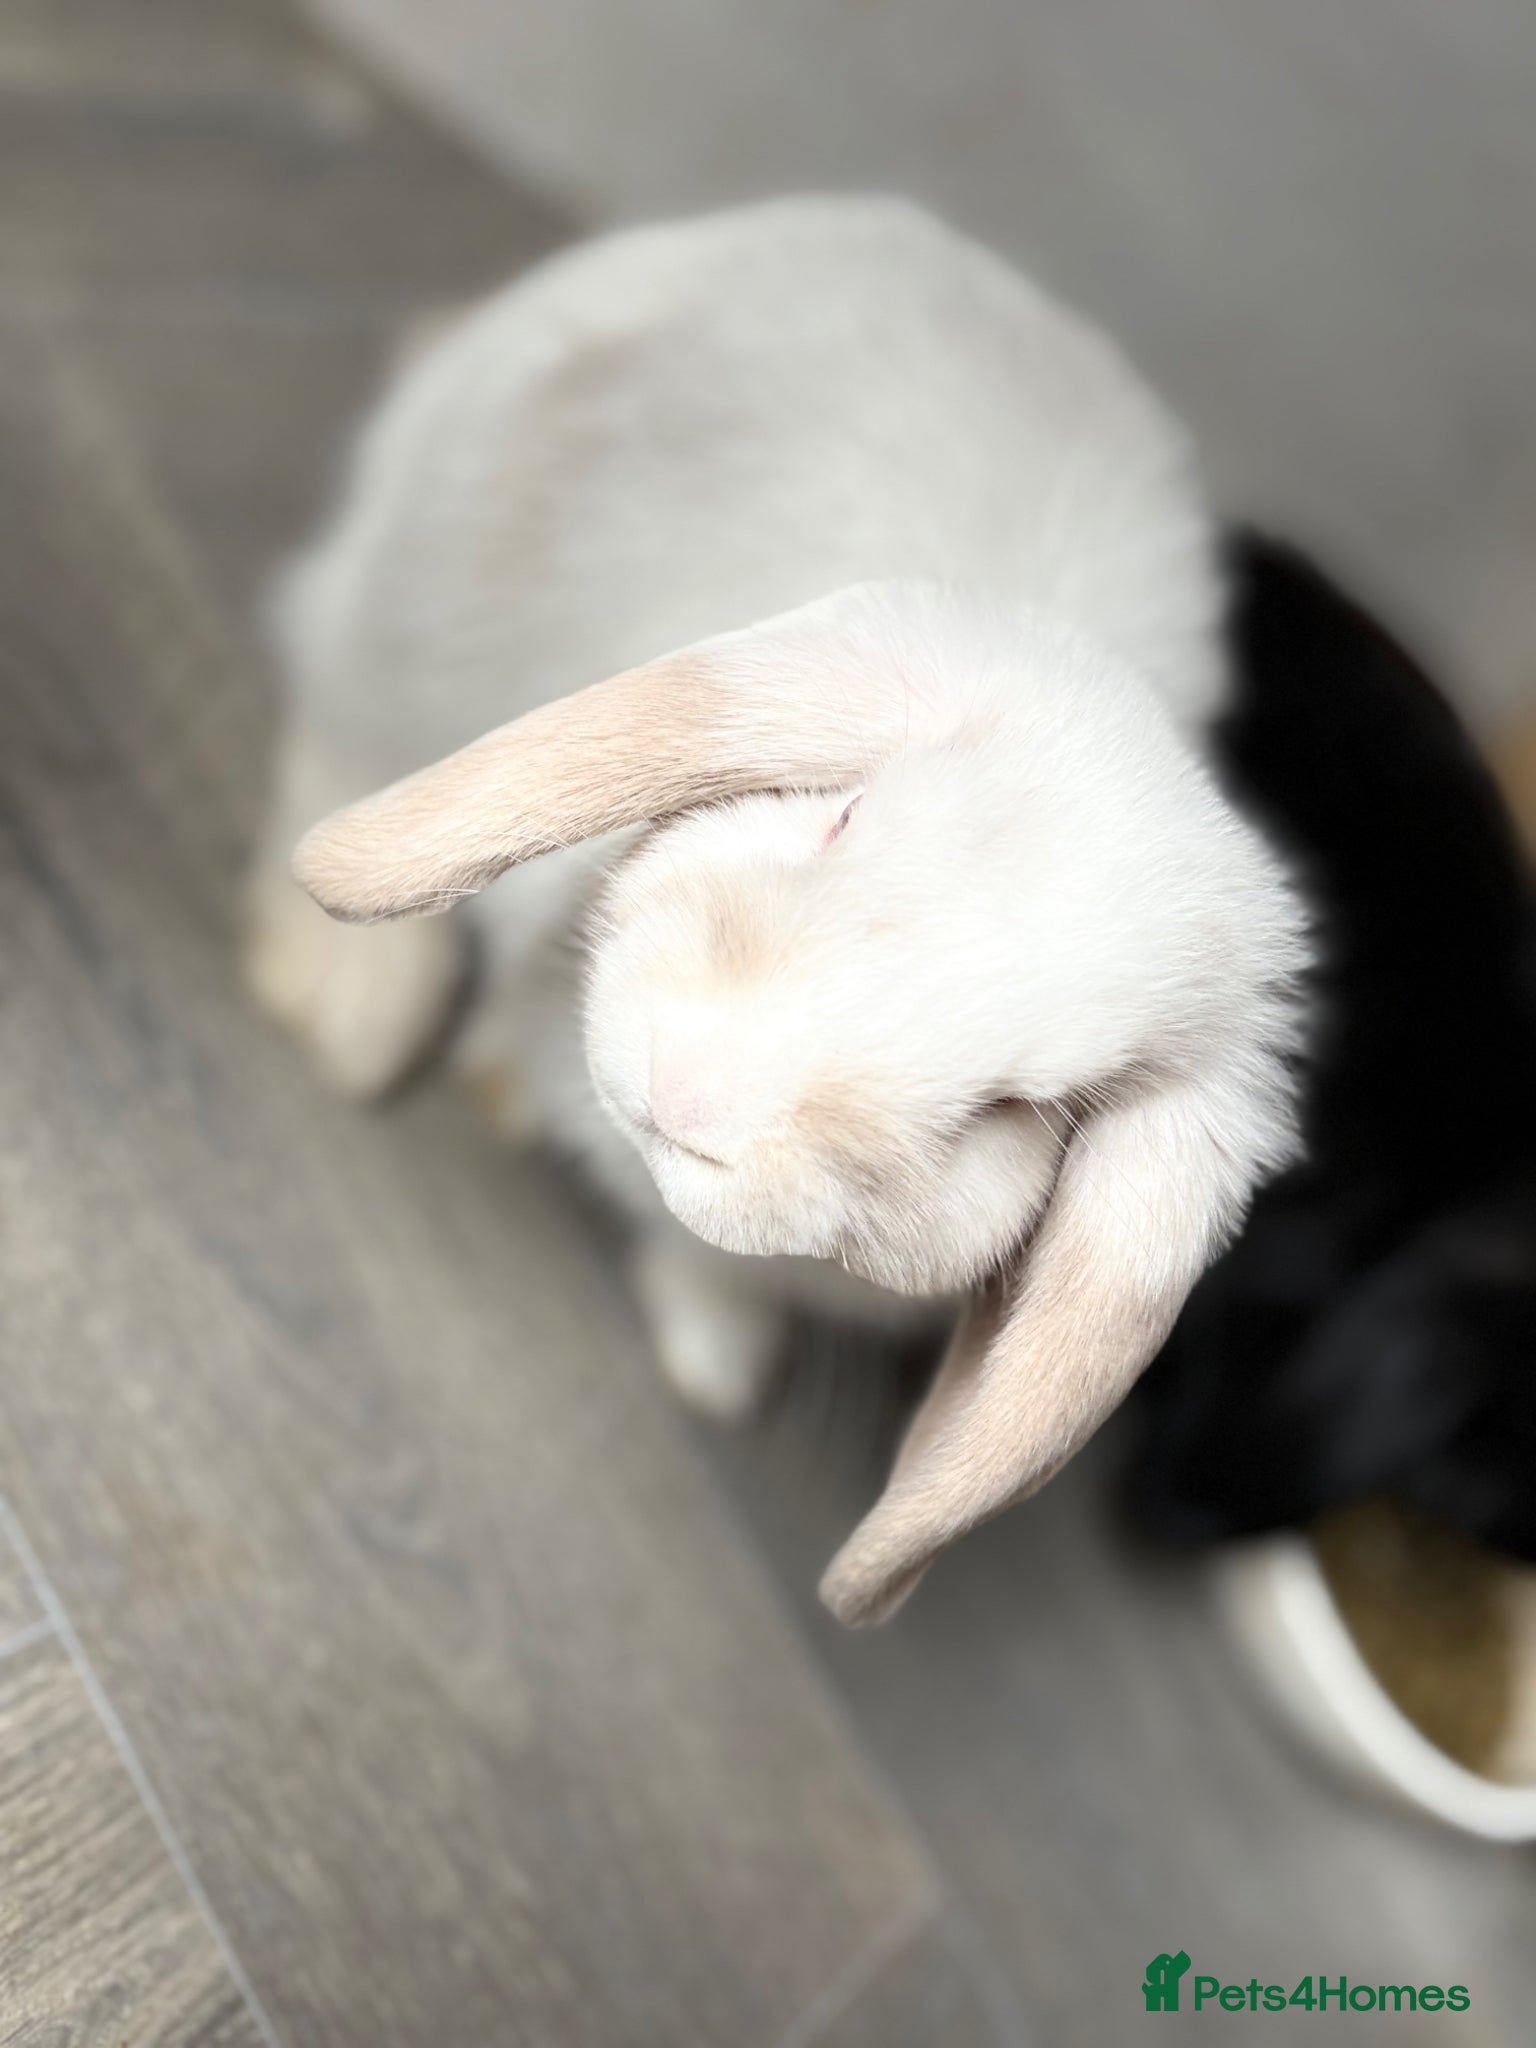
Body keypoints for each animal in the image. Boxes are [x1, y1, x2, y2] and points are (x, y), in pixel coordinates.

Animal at [248, 197, 1312, 1625]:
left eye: (1023, 1111)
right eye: (843, 818)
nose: (695, 1094)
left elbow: (703, 1266)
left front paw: (715, 1361)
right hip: (419, 586)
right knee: (337, 708)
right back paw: (351, 1006)